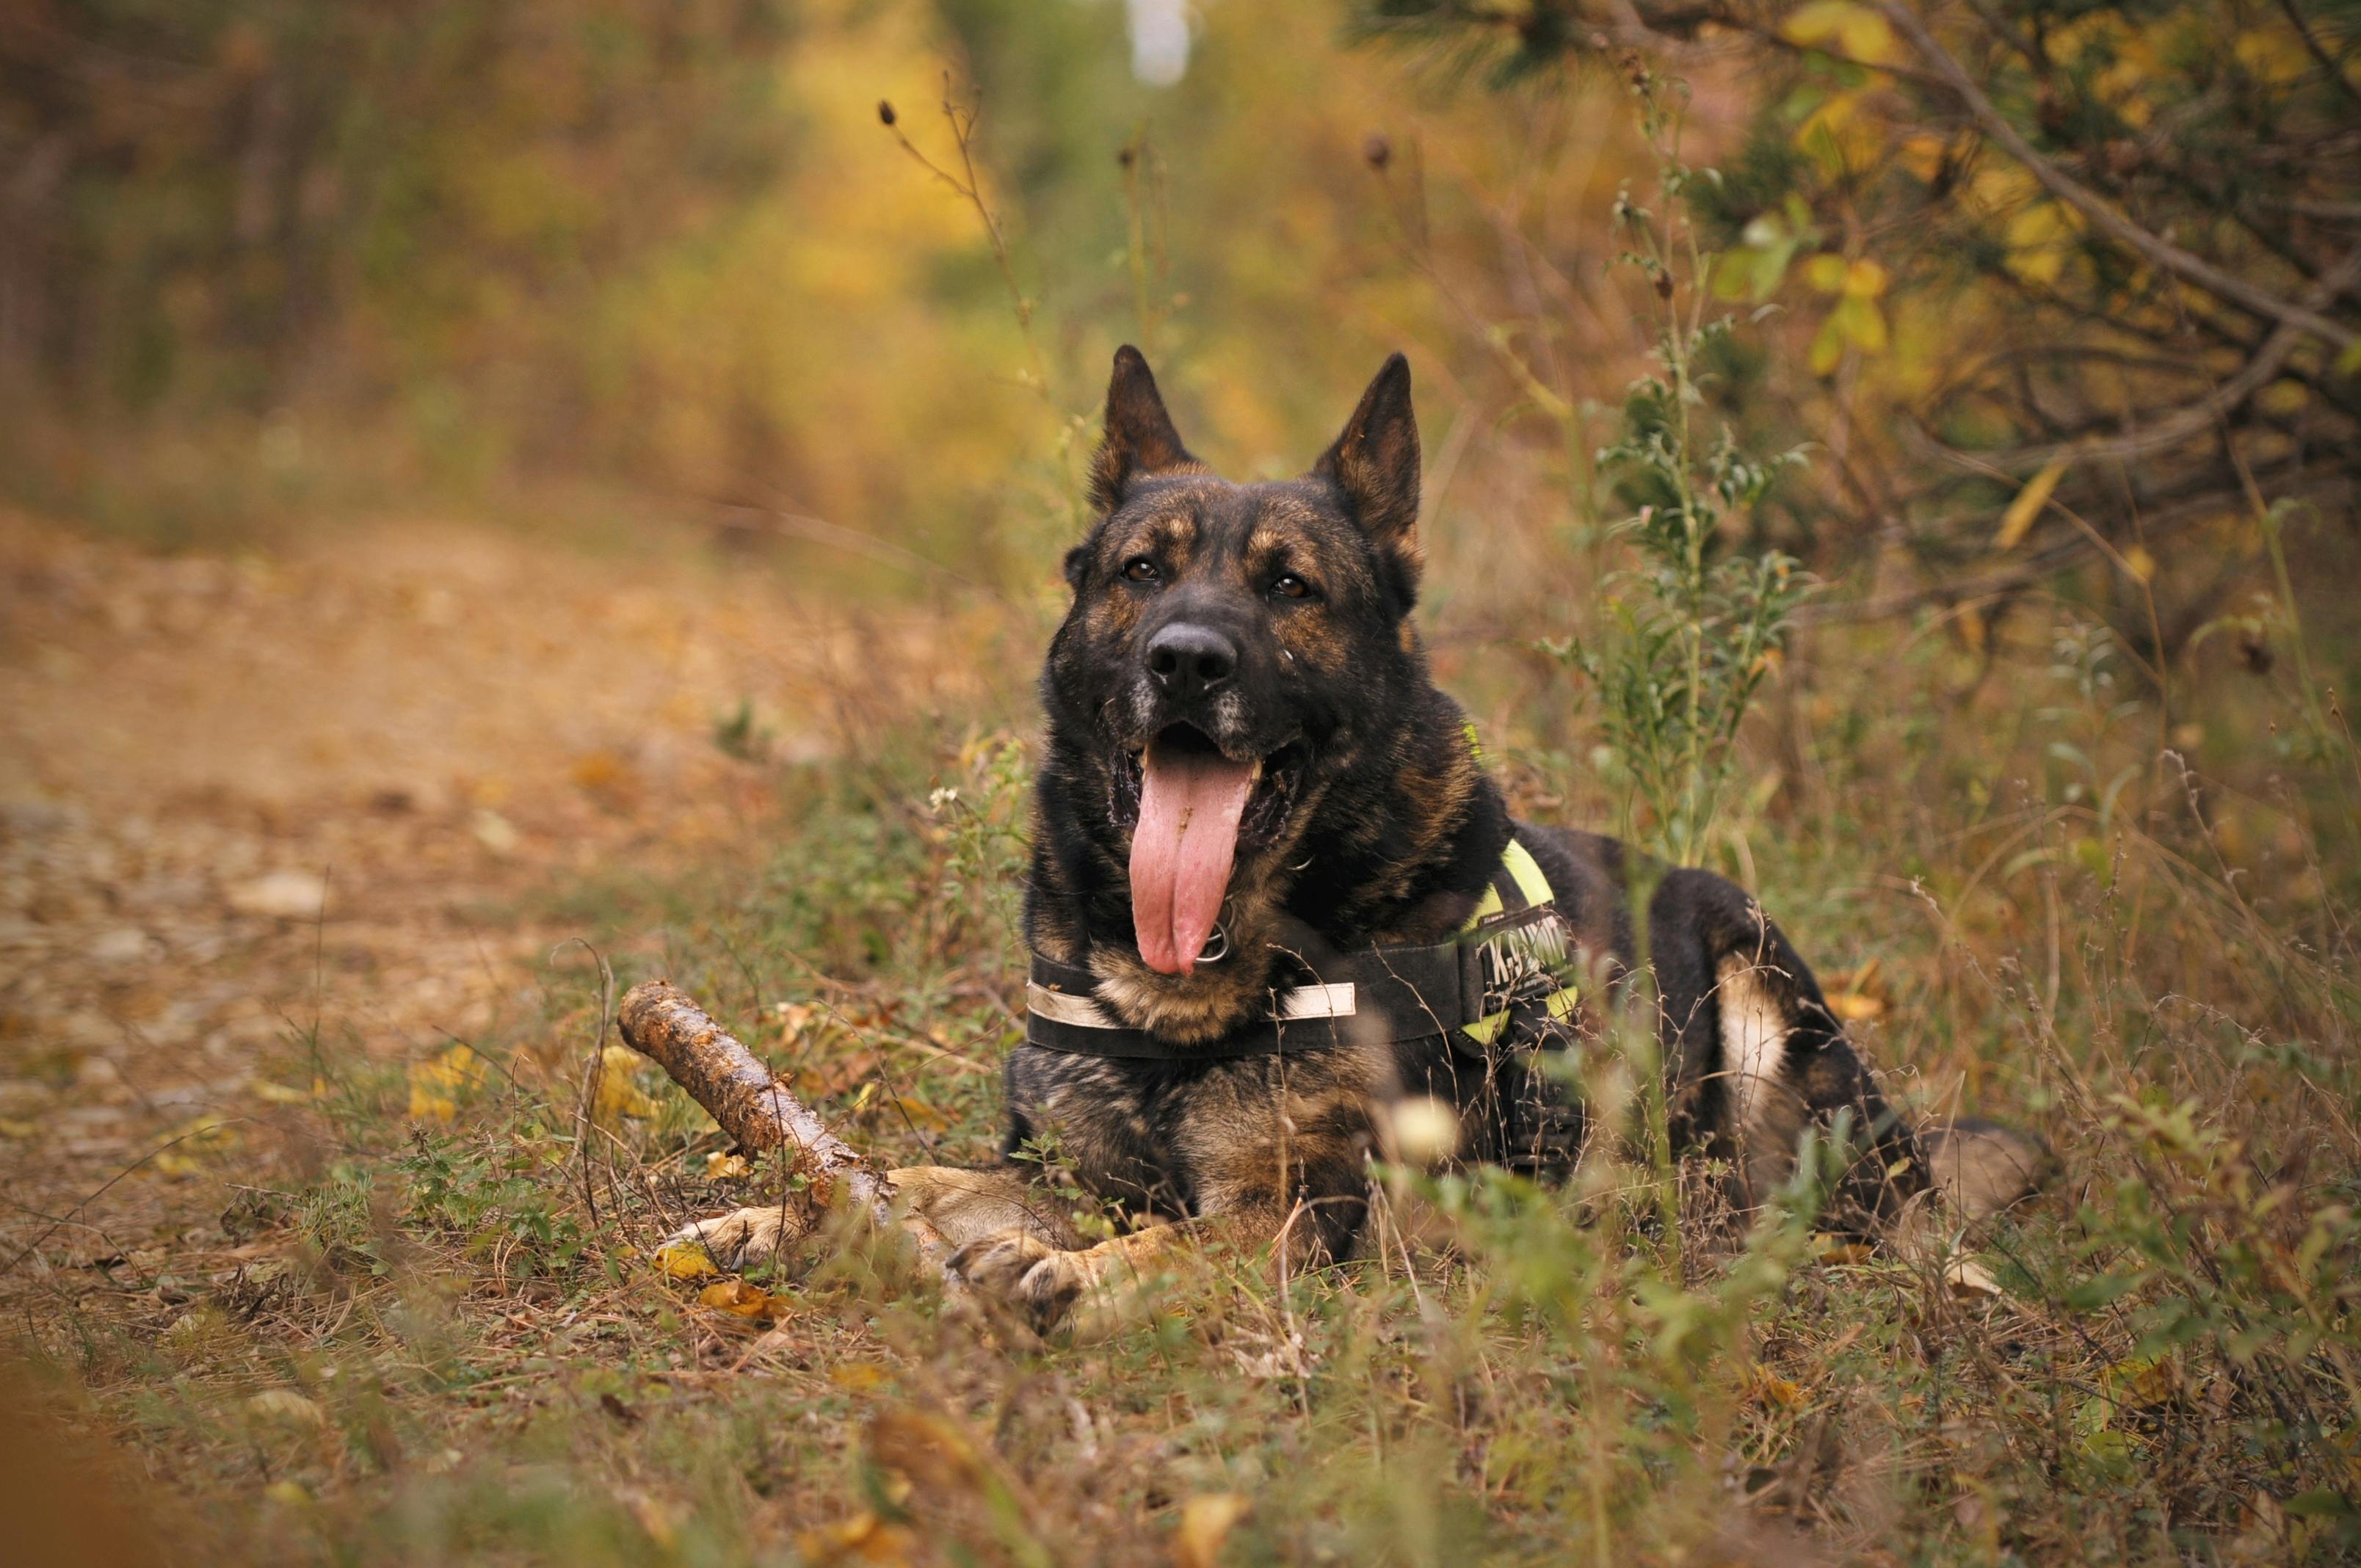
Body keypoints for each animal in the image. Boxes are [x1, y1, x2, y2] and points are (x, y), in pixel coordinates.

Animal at [670, 346, 2049, 1332]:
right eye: (1140, 572)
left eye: (1290, 588)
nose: (1186, 660)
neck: (1196, 991)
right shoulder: (1068, 1172)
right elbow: (914, 1181)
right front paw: (776, 1219)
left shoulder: (1288, 1215)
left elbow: (1170, 1243)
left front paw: (1075, 1276)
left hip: (1764, 993)